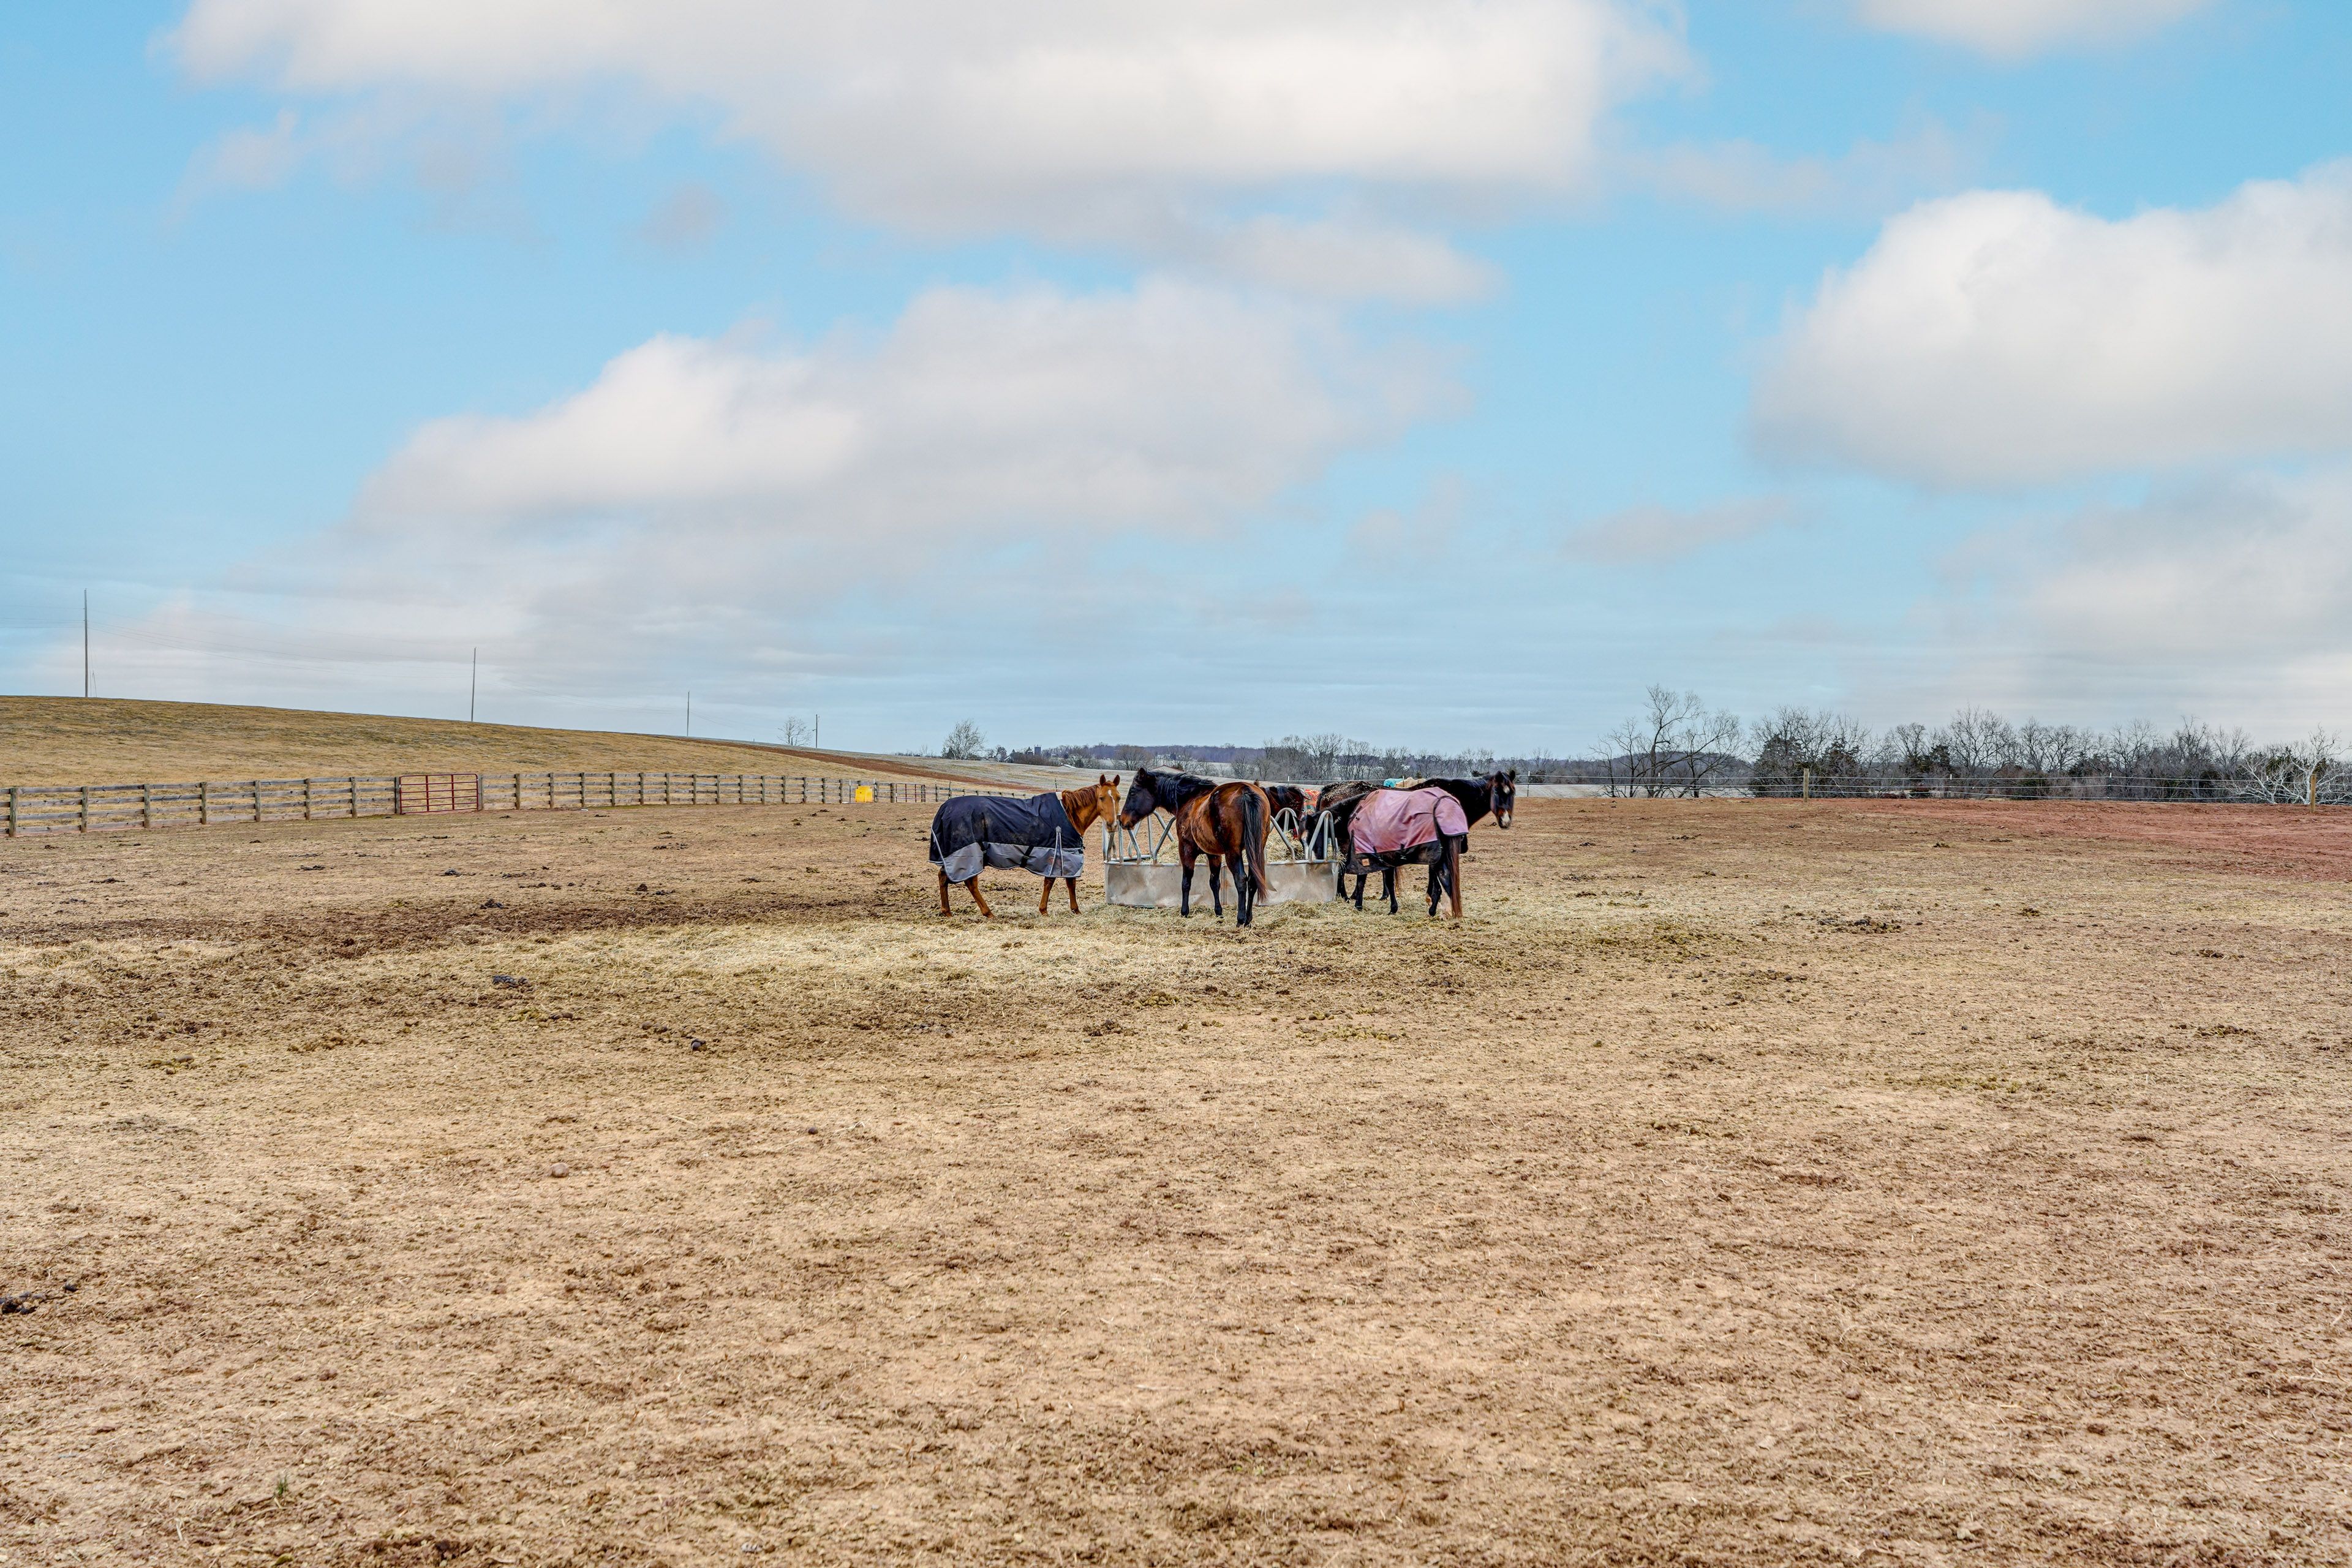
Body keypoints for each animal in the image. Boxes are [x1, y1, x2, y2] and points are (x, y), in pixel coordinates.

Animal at [930, 775, 1120, 918]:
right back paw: (988, 913)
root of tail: (945, 808)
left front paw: (1065, 910)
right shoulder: (1060, 854)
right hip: (969, 855)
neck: (1068, 814)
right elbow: (1059, 882)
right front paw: (1054, 910)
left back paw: (947, 911)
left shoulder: (1058, 854)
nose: (1112, 824)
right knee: (970, 882)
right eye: (1102, 798)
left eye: (1118, 797)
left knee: (944, 877)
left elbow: (1061, 882)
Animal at [1117, 767, 1273, 926]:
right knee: (1253, 881)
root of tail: (1246, 792)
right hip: (1256, 850)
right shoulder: (1214, 855)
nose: (1122, 820)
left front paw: (1184, 912)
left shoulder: (1186, 850)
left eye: (1133, 792)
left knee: (1241, 880)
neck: (1190, 798)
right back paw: (1248, 919)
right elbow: (1214, 883)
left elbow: (1186, 882)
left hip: (1233, 852)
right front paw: (1219, 912)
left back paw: (1241, 920)